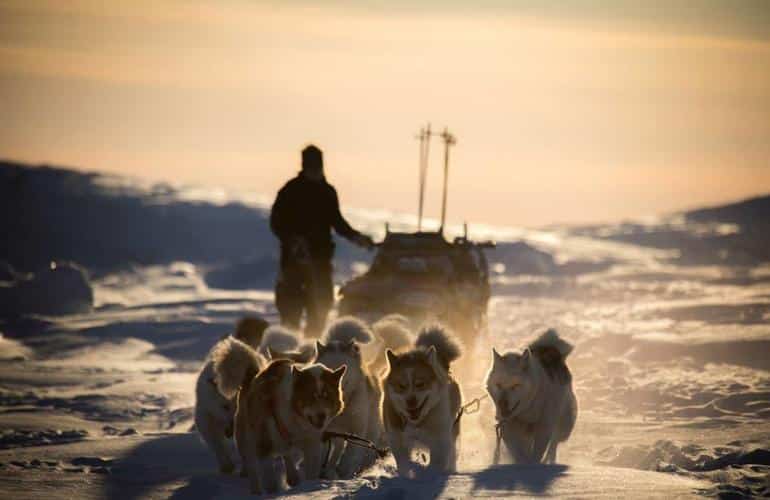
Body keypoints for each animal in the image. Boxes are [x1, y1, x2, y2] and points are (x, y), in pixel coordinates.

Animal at [484, 328, 572, 464]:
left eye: (515, 385)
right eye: (498, 385)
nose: (502, 404)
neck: (527, 411)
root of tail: (549, 348)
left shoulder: (543, 429)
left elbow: (536, 454)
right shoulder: (508, 429)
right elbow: (518, 453)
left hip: (562, 425)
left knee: (553, 445)